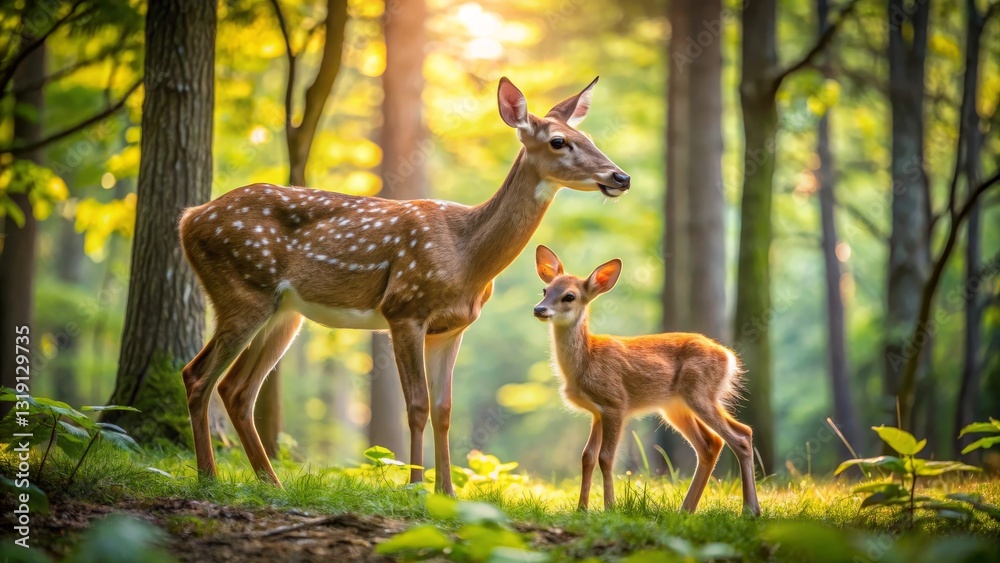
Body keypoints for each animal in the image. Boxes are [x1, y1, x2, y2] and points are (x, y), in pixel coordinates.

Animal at [177, 77, 631, 493]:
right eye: (558, 141)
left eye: (588, 137)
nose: (621, 177)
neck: (467, 257)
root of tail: (189, 218)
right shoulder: (404, 309)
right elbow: (416, 405)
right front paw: (415, 487)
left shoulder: (452, 329)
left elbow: (444, 408)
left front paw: (446, 491)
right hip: (241, 290)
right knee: (197, 375)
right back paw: (209, 478)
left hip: (285, 312)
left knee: (237, 389)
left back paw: (272, 483)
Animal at [532, 246, 761, 516]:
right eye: (545, 290)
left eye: (569, 296)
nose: (539, 309)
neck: (586, 360)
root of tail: (729, 357)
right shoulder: (597, 413)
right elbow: (587, 456)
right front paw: (581, 509)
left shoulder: (615, 403)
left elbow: (606, 457)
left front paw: (610, 507)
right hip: (675, 407)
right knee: (711, 444)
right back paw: (686, 510)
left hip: (700, 394)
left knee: (742, 435)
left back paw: (750, 509)